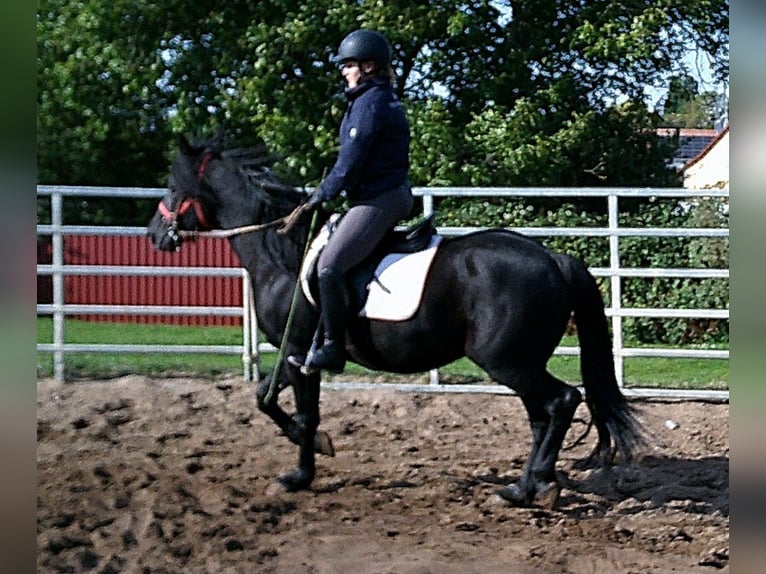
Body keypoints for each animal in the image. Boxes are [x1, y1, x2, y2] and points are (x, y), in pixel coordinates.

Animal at [147, 135, 646, 508]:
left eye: (171, 184)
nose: (155, 235)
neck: (282, 251)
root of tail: (551, 258)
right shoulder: (296, 354)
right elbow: (262, 397)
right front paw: (316, 448)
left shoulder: (301, 352)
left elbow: (304, 414)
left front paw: (301, 473)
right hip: (521, 363)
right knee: (543, 416)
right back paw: (529, 485)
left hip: (509, 362)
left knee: (560, 402)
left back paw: (531, 486)